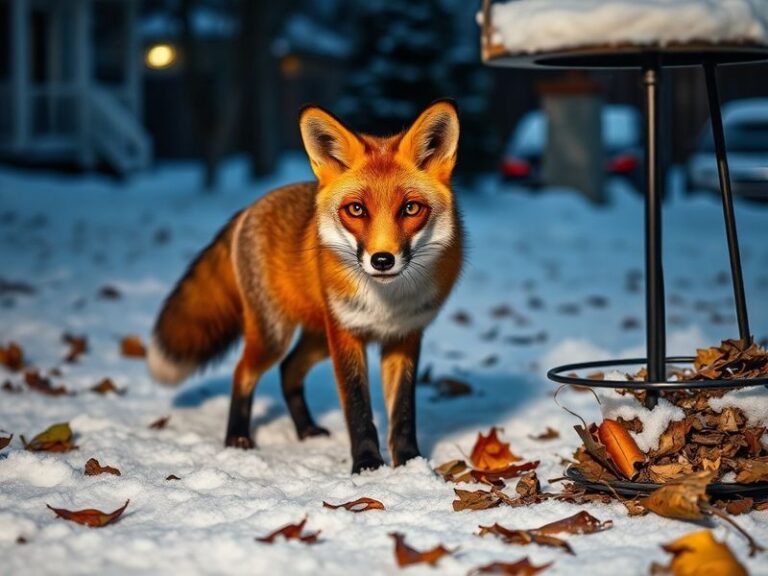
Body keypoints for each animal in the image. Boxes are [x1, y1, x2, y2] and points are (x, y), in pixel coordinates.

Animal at [147, 100, 463, 474]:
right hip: (277, 335)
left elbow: (402, 413)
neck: (387, 304)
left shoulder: (404, 337)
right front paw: (367, 465)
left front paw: (410, 464)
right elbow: (358, 409)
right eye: (356, 210)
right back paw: (237, 438)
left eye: (411, 208)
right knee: (243, 372)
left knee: (288, 370)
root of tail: (248, 209)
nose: (382, 260)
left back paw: (306, 430)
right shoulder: (346, 336)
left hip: (317, 336)